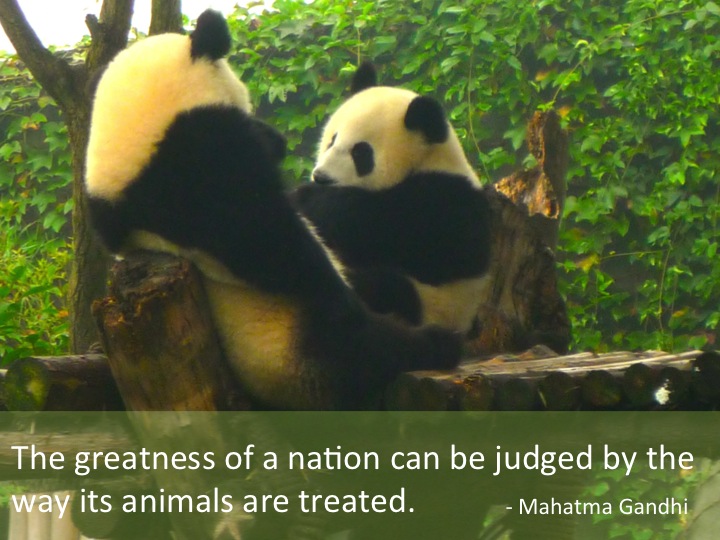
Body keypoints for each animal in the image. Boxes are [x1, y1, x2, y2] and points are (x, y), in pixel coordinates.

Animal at [291, 63, 492, 337]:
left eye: (361, 153)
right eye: (332, 140)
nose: (321, 177)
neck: (426, 159)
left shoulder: (446, 199)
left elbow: (389, 228)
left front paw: (308, 198)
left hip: (431, 306)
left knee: (384, 287)